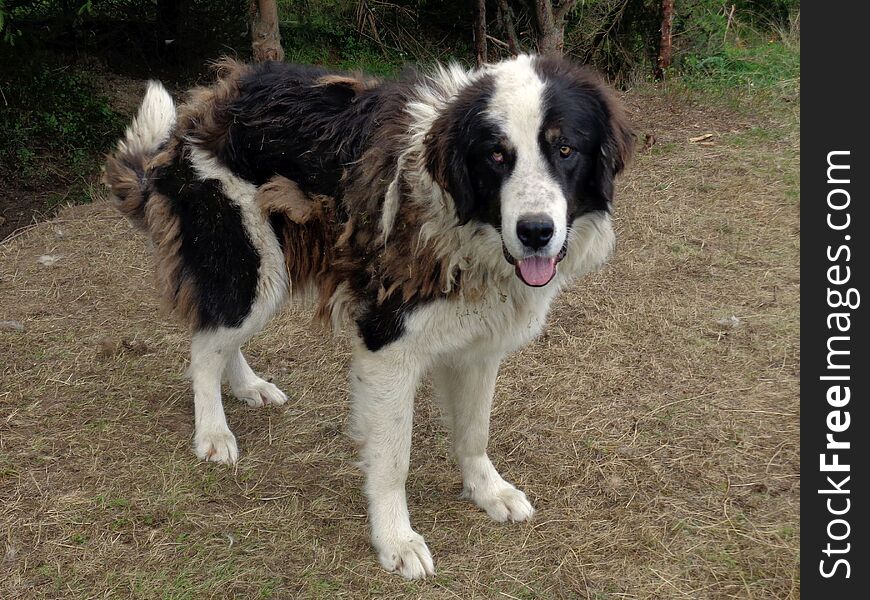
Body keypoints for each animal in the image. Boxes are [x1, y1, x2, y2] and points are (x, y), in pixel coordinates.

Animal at [105, 54, 632, 580]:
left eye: (565, 149)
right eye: (497, 157)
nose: (535, 232)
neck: (461, 224)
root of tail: (199, 107)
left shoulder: (479, 348)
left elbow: (474, 432)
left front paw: (487, 491)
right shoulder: (387, 346)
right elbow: (393, 459)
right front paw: (396, 539)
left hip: (267, 274)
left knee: (221, 339)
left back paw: (248, 387)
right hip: (250, 267)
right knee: (205, 346)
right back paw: (213, 432)